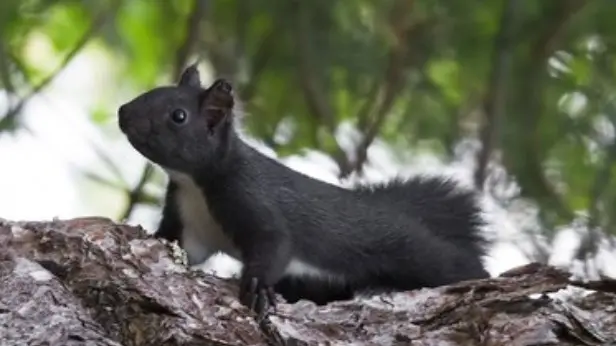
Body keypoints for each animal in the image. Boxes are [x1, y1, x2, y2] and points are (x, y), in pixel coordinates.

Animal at [115, 65, 490, 318]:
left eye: (178, 116)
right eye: (154, 90)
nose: (123, 112)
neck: (196, 183)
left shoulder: (251, 196)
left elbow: (276, 242)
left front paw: (257, 289)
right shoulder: (191, 223)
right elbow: (179, 245)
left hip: (411, 251)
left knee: (456, 265)